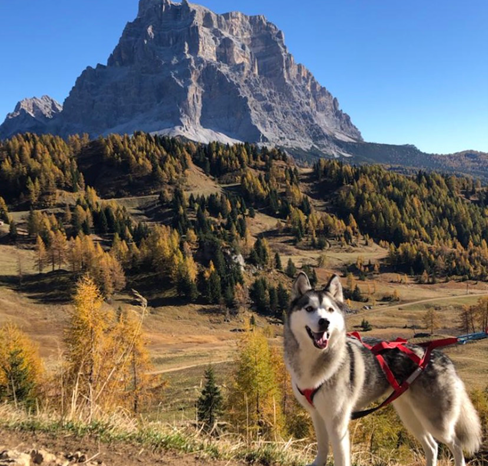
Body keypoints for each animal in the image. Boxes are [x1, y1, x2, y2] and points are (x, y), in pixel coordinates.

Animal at [284, 274, 482, 466]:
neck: (314, 361)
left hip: (437, 422)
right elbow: (323, 447)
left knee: (456, 445)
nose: (324, 322)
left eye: (330, 310)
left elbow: (341, 458)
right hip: (410, 416)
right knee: (432, 446)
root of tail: (441, 356)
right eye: (309, 308)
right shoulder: (317, 415)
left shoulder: (337, 423)